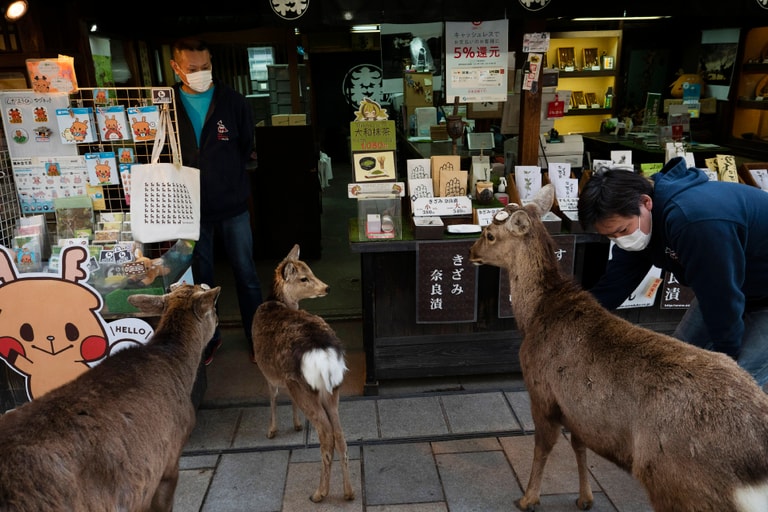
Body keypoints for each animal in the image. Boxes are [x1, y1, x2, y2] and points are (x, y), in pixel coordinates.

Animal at [250, 244, 356, 504]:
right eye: (304, 277)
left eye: (309, 272)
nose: (326, 287)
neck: (277, 302)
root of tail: (323, 354)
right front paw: (297, 425)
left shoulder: (268, 372)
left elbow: (273, 397)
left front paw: (272, 430)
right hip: (332, 389)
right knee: (340, 434)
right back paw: (348, 492)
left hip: (305, 387)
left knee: (326, 434)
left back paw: (319, 493)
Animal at [464, 185, 768, 512]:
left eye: (489, 234)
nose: (471, 252)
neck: (535, 317)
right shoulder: (579, 410)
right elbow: (579, 445)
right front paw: (585, 498)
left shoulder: (541, 392)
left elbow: (543, 448)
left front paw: (528, 498)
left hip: (677, 480)